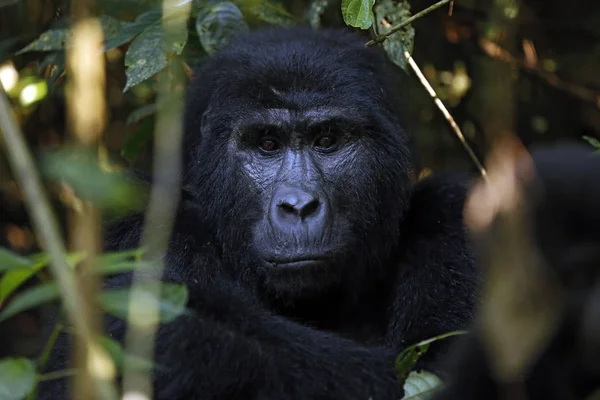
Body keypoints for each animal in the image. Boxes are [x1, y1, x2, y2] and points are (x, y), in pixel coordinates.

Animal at [37, 25, 600, 400]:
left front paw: (186, 348)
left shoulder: (454, 223)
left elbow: (437, 370)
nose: (299, 206)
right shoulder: (144, 226)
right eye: (266, 143)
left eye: (328, 139)